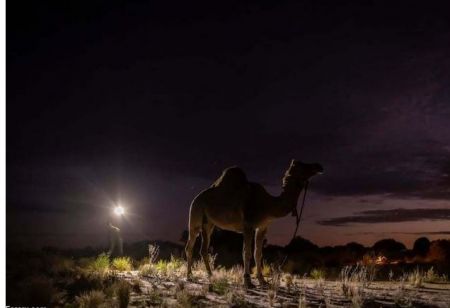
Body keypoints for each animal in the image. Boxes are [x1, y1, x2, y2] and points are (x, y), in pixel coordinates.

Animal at [185, 160, 324, 288]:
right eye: (302, 165)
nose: (318, 166)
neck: (268, 204)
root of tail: (196, 197)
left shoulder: (262, 228)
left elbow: (258, 253)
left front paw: (262, 281)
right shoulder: (248, 225)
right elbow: (246, 252)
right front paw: (247, 281)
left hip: (209, 224)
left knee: (201, 247)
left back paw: (205, 275)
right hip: (195, 214)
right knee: (192, 245)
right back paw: (193, 276)